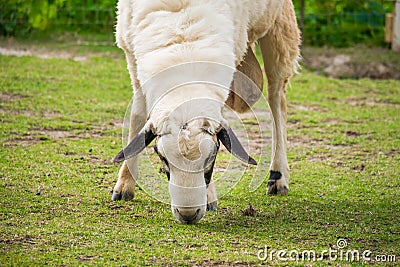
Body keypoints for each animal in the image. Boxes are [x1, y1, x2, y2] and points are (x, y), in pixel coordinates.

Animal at [112, 0, 300, 225]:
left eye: (212, 156)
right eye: (162, 157)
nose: (188, 214)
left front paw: (210, 196)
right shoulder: (132, 56)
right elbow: (137, 116)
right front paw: (125, 183)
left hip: (279, 23)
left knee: (276, 96)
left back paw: (277, 177)